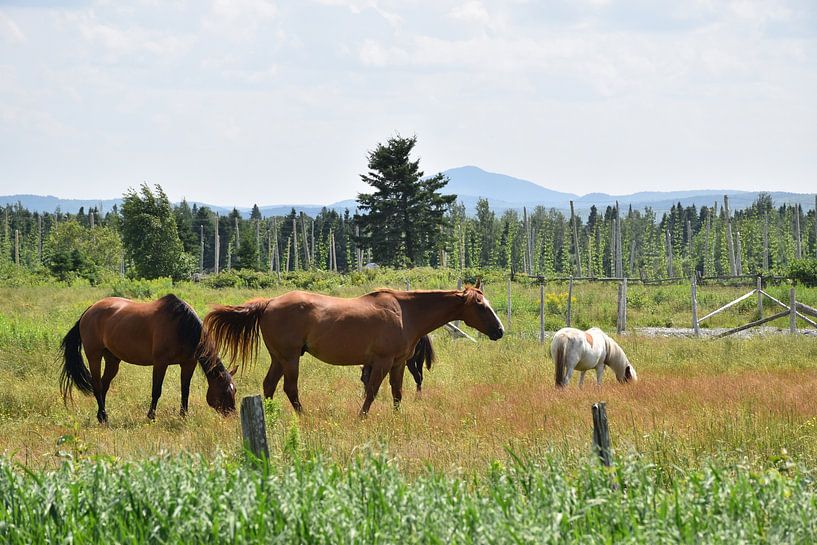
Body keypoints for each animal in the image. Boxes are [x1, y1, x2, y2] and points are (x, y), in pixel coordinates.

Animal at [60, 294, 237, 423]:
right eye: (224, 392)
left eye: (234, 390)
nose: (232, 416)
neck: (181, 327)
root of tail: (89, 310)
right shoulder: (160, 363)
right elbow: (156, 390)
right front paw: (151, 416)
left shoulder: (188, 364)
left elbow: (185, 390)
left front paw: (183, 416)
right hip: (94, 356)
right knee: (97, 385)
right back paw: (103, 417)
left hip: (112, 360)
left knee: (104, 385)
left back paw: (101, 415)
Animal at [200, 283, 503, 416]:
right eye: (480, 305)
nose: (499, 330)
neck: (406, 312)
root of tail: (269, 303)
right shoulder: (382, 362)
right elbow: (372, 391)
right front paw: (362, 416)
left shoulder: (398, 363)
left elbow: (397, 392)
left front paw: (397, 417)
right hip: (290, 358)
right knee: (290, 388)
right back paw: (302, 415)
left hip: (279, 358)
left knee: (269, 386)